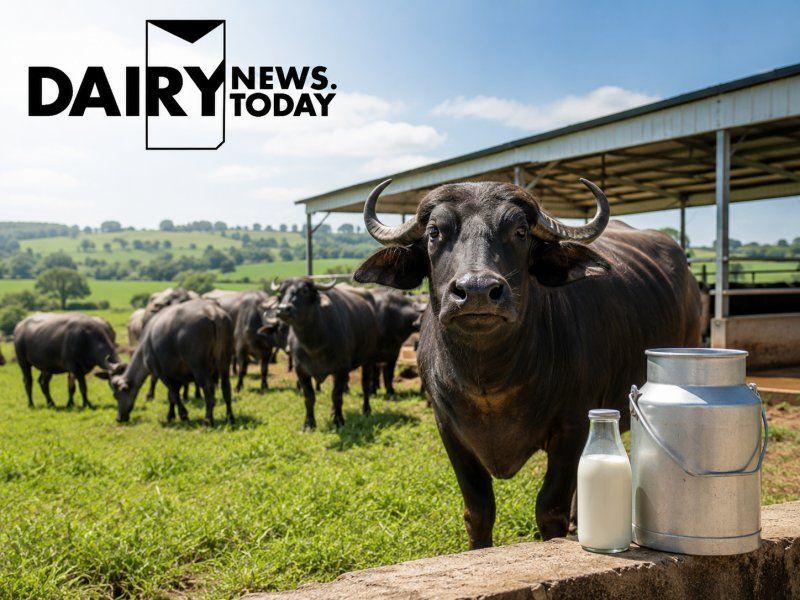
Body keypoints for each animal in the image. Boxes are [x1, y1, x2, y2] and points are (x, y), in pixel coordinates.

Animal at [355, 178, 701, 548]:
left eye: (519, 231)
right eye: (435, 232)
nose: (477, 291)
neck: (489, 382)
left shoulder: (572, 426)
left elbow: (550, 509)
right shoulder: (448, 429)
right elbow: (478, 510)